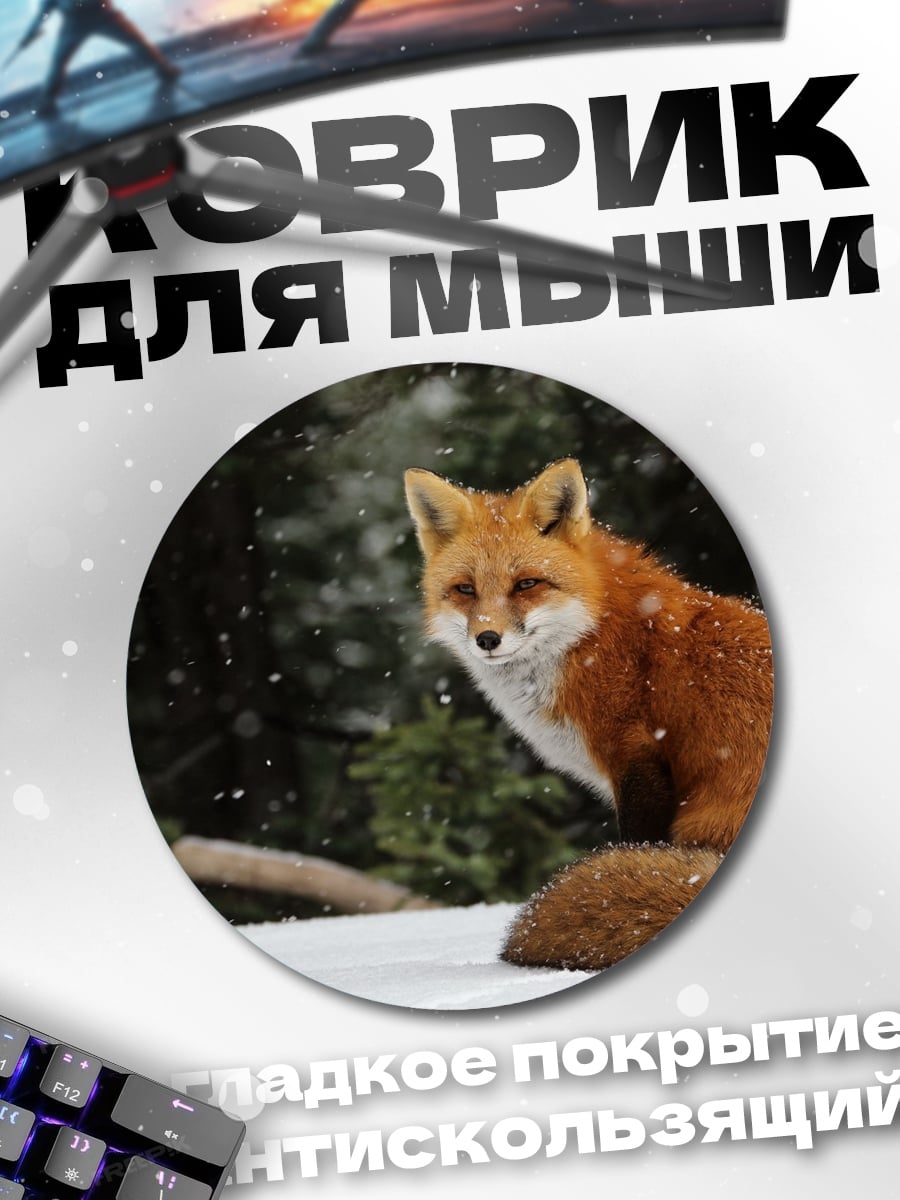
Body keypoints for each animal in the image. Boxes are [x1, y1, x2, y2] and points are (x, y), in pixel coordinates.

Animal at [403, 457, 774, 971]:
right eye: (465, 589)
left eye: (526, 584)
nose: (487, 639)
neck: (590, 636)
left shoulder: (635, 756)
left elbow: (635, 843)